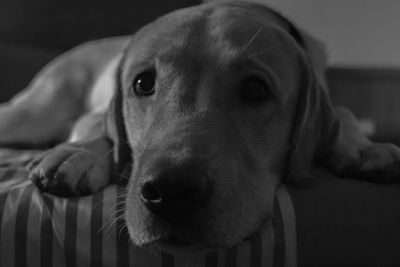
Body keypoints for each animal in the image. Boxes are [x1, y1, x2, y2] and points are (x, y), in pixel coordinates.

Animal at [0, 0, 400, 251]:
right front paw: (78, 154)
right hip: (34, 113)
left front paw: (364, 147)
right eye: (143, 83)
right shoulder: (93, 115)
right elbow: (98, 131)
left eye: (255, 88)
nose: (170, 192)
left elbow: (344, 113)